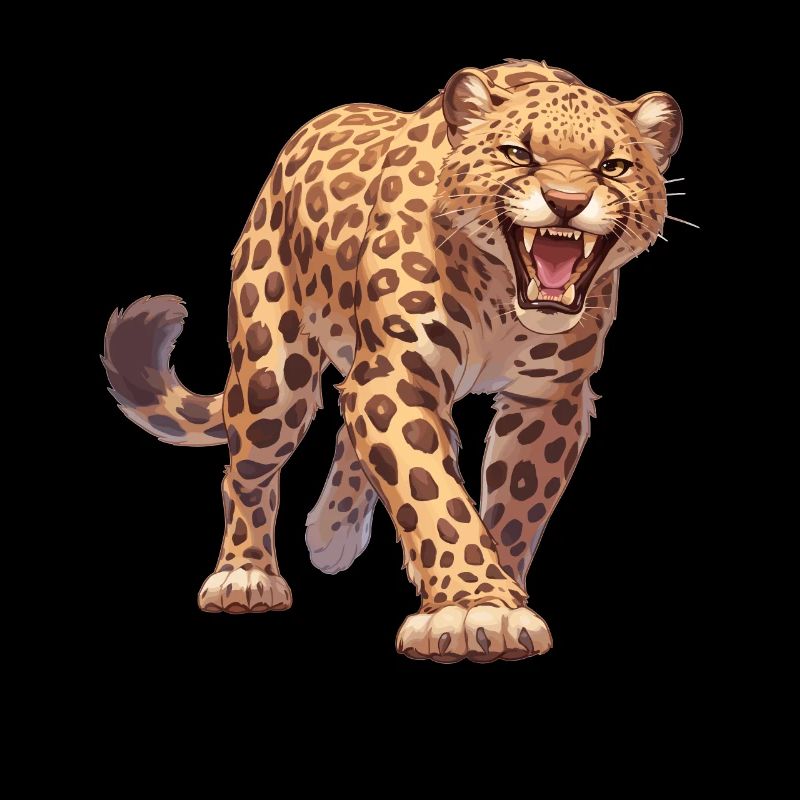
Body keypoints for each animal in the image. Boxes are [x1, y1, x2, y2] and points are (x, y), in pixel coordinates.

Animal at [103, 59, 682, 663]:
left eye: (613, 167)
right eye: (517, 153)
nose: (566, 200)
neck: (502, 295)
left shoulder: (546, 395)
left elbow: (516, 505)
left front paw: (502, 595)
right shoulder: (397, 373)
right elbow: (432, 493)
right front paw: (473, 608)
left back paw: (330, 535)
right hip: (272, 375)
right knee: (247, 472)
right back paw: (245, 575)